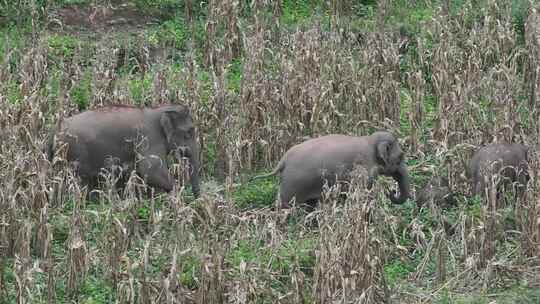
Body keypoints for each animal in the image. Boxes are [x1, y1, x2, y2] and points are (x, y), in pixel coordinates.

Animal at [45, 104, 201, 197]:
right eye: (189, 132)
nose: (196, 199)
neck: (159, 109)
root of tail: (54, 131)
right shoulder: (149, 138)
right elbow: (150, 170)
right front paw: (178, 192)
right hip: (75, 152)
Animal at [253, 131, 410, 209]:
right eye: (401, 156)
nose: (391, 192)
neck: (369, 140)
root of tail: (282, 160)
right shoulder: (362, 170)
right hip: (291, 186)